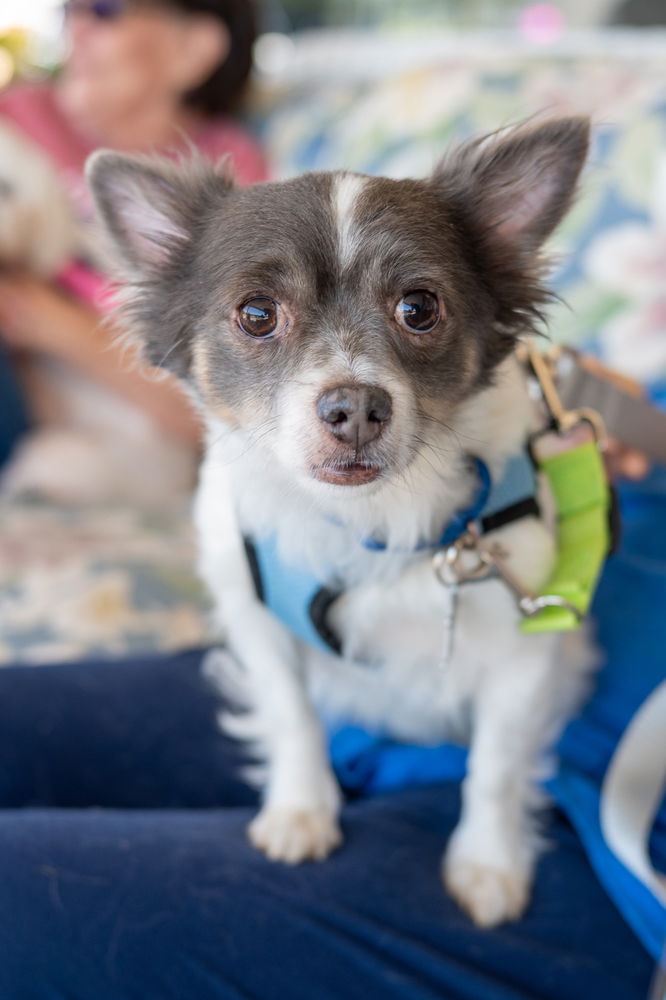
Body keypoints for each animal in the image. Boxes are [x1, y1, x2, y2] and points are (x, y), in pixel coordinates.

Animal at [88, 119, 592, 928]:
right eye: (257, 314)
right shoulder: (254, 618)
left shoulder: (528, 646)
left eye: (419, 307)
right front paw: (301, 811)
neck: (368, 520)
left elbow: (495, 765)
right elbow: (291, 713)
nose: (355, 405)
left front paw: (489, 863)